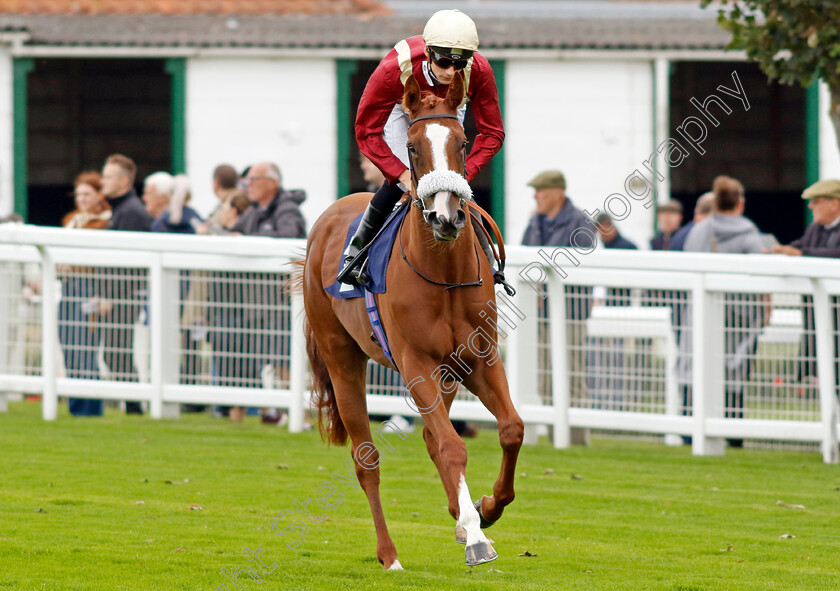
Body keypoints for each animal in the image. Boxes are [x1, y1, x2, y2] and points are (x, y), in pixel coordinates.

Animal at [302, 73, 524, 568]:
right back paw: (390, 555)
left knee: (430, 436)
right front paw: (476, 537)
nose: (446, 216)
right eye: (413, 148)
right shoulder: (415, 362)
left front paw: (485, 509)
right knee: (366, 460)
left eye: (463, 142)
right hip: (342, 359)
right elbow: (452, 445)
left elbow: (511, 430)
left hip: (446, 372)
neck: (444, 274)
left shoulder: (478, 359)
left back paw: (461, 516)